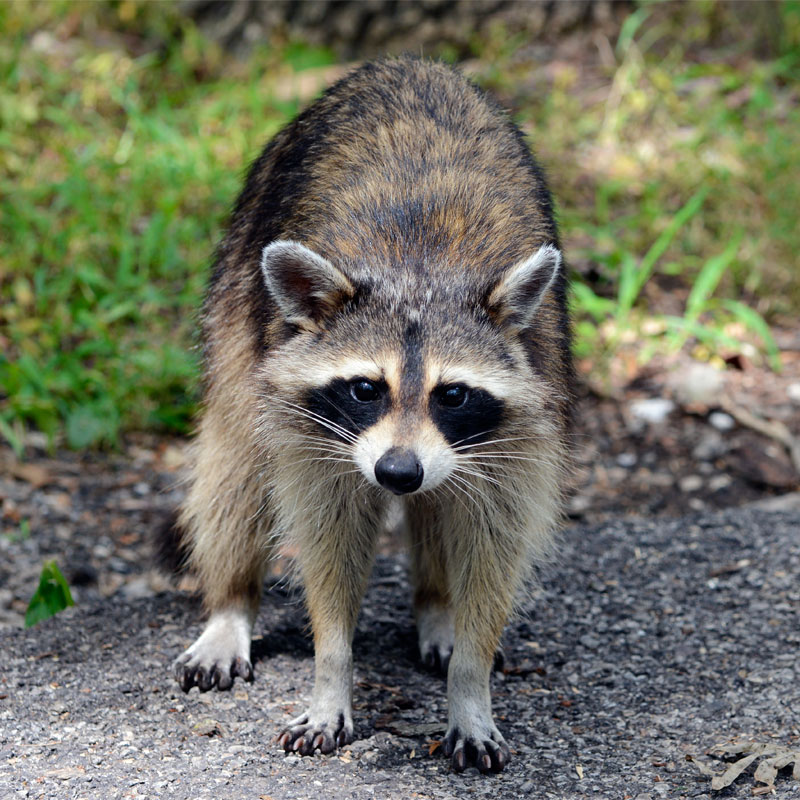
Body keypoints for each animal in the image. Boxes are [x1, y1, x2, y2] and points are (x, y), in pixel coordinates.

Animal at [172, 56, 572, 774]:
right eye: (365, 388)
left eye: (452, 394)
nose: (398, 473)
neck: (420, 273)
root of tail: (410, 63)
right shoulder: (314, 429)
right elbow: (327, 539)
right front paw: (332, 673)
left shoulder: (525, 418)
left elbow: (494, 541)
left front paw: (470, 686)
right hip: (237, 293)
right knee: (235, 465)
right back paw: (231, 603)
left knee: (444, 507)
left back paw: (438, 607)